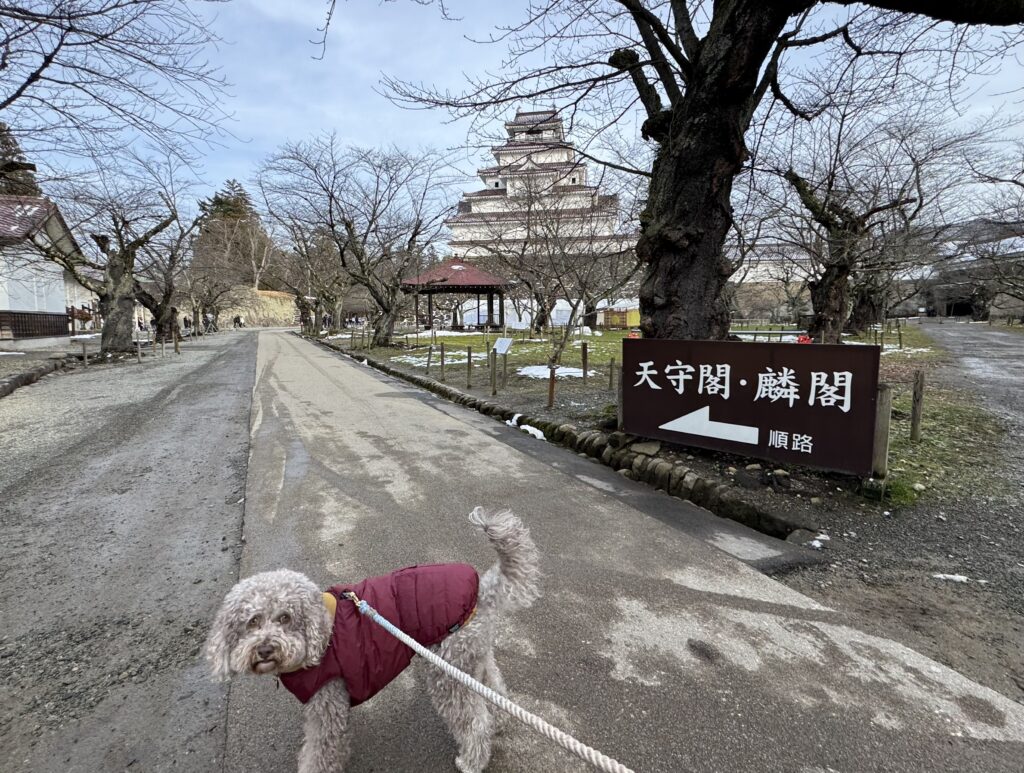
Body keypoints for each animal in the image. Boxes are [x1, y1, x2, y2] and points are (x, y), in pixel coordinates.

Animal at [207, 507, 544, 773]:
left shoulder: (327, 704)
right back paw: (500, 723)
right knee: (494, 690)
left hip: (447, 670)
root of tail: (482, 591)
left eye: (285, 618)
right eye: (252, 621)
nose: (265, 649)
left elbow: (319, 753)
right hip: (469, 656)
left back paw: (472, 761)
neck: (321, 635)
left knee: (474, 722)